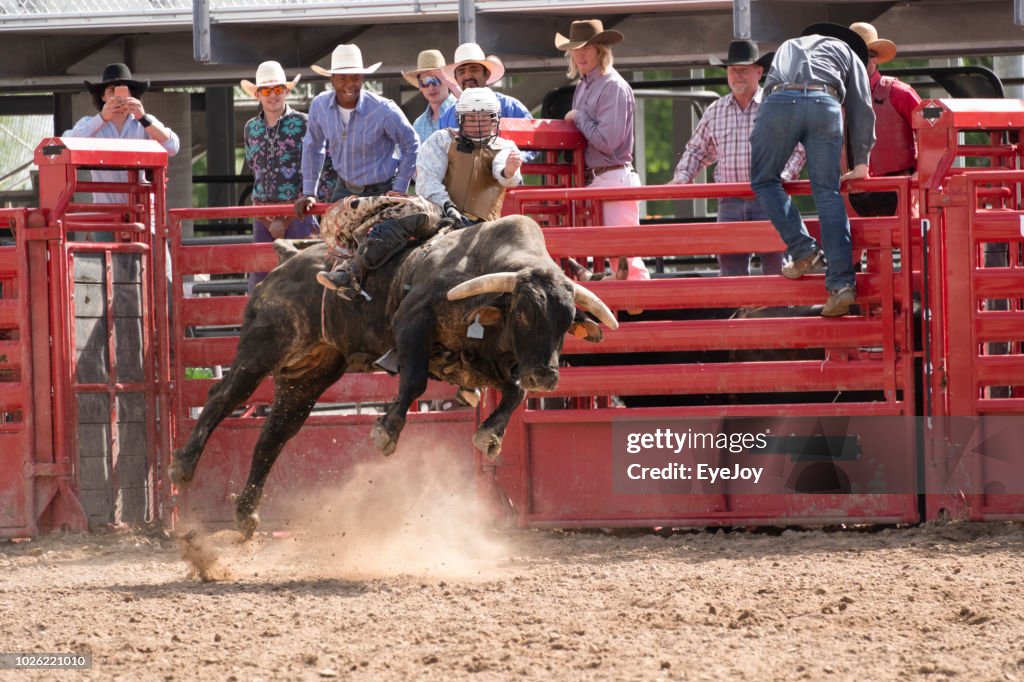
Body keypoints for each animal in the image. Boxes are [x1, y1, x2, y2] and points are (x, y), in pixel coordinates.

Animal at [168, 209, 614, 532]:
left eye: (567, 320)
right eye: (522, 313)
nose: (546, 376)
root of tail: (288, 261)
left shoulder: (480, 365)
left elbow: (514, 392)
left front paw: (489, 435)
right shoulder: (412, 321)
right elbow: (413, 381)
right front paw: (386, 430)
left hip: (307, 376)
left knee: (274, 434)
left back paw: (246, 515)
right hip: (264, 344)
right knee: (224, 396)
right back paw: (183, 466)